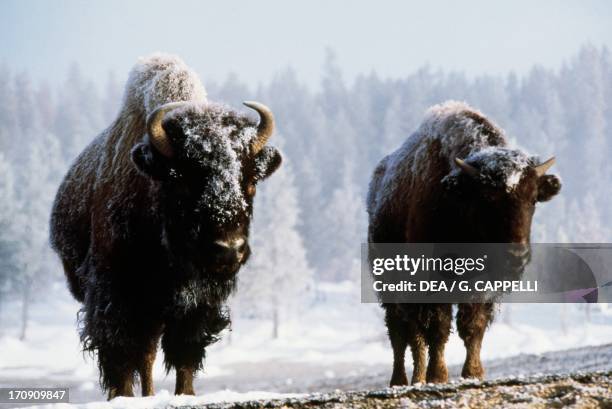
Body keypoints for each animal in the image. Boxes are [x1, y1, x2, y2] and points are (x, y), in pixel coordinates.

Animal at [49, 55, 282, 398]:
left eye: (251, 181)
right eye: (181, 180)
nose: (229, 250)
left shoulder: (195, 305)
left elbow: (184, 355)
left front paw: (186, 395)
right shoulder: (117, 299)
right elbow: (121, 359)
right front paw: (123, 397)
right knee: (140, 356)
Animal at [366, 101, 560, 386]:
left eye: (533, 198)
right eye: (487, 198)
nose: (517, 256)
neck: (459, 196)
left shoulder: (482, 285)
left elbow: (472, 325)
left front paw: (474, 373)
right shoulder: (432, 280)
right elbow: (439, 326)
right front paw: (438, 376)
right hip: (389, 284)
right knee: (401, 332)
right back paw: (402, 380)